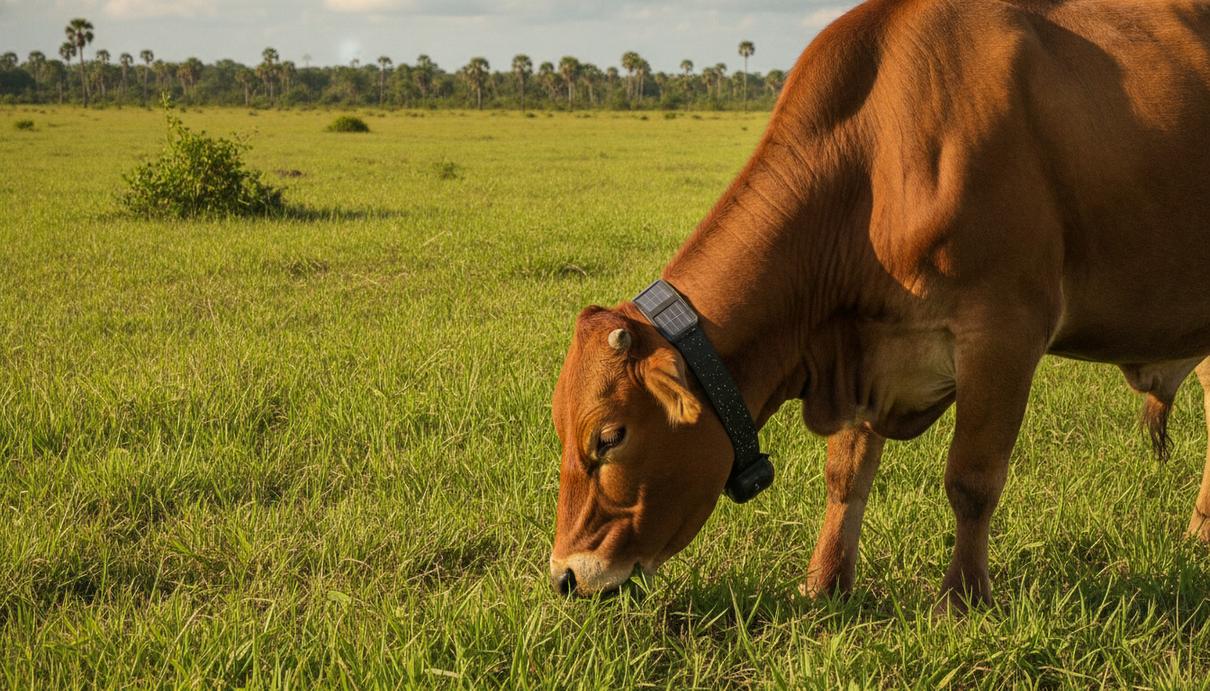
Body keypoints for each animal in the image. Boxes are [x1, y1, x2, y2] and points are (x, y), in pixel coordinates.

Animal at [549, 0, 1210, 610]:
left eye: (609, 437)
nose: (565, 575)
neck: (873, 169)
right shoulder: (861, 348)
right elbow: (845, 475)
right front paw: (825, 584)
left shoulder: (1004, 331)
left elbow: (972, 480)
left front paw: (961, 601)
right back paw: (1200, 535)